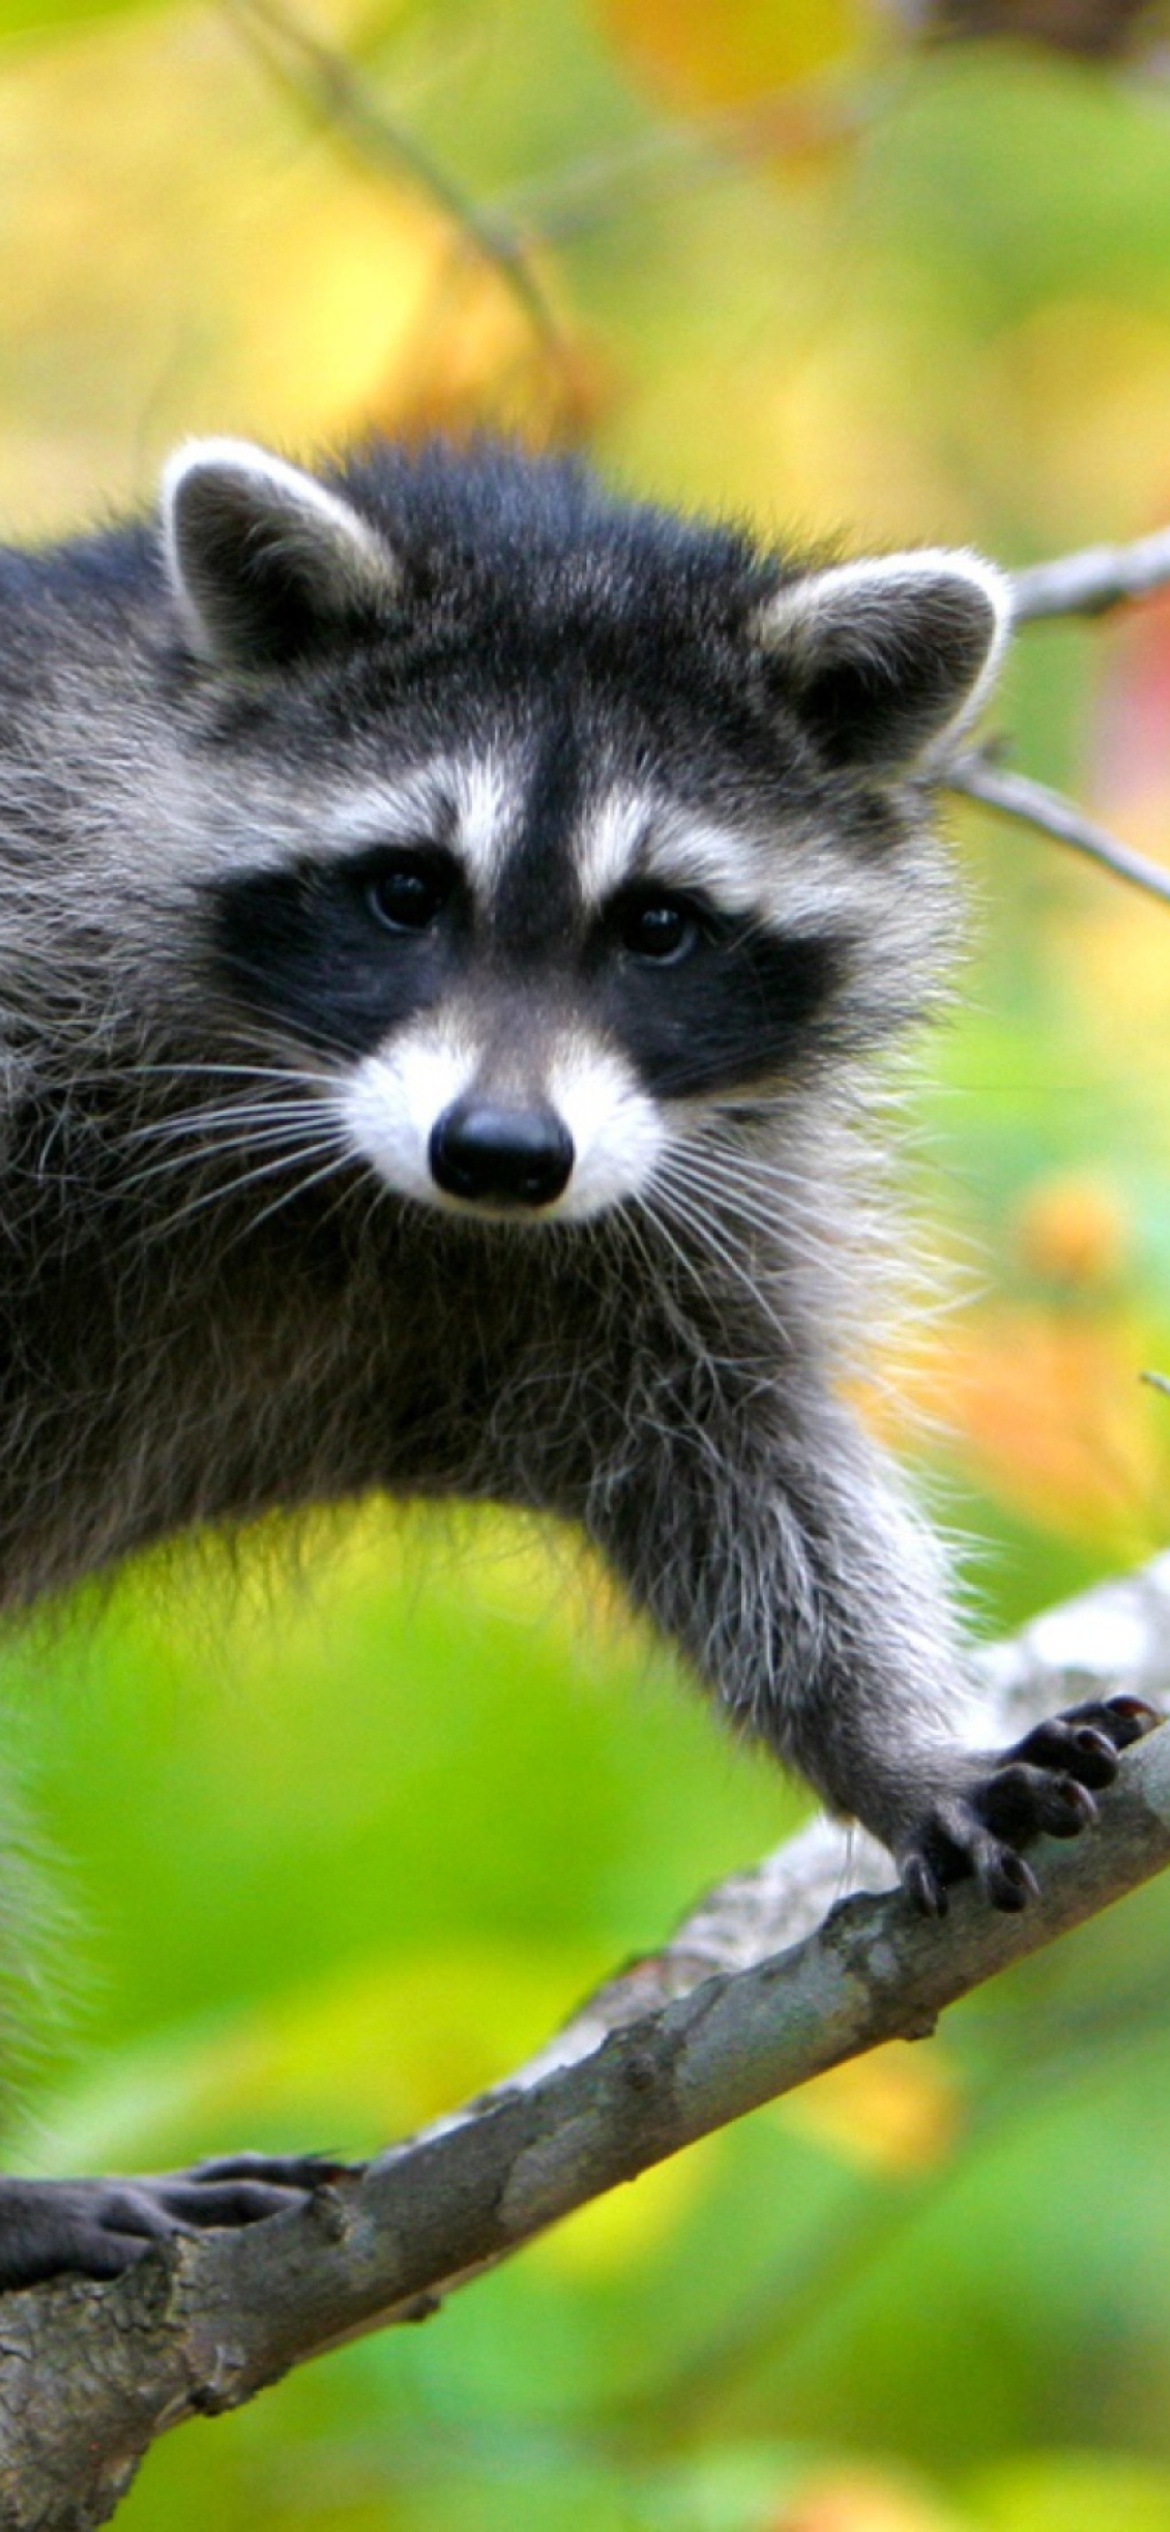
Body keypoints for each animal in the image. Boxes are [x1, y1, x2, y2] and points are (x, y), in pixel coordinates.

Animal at [0, 435, 1143, 2288]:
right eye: (405, 888)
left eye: (660, 926)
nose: (500, 1151)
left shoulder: (675, 1211)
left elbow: (740, 1475)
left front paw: (896, 1745)